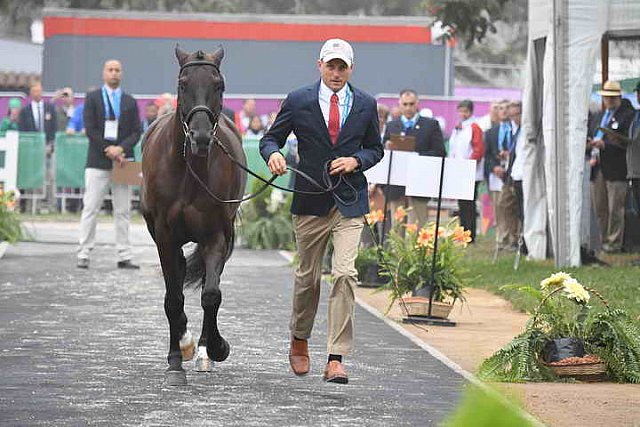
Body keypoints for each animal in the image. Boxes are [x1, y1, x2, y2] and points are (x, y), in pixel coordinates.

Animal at [141, 45, 246, 386]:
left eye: (219, 85)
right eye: (183, 84)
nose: (200, 137)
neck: (189, 173)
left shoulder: (215, 236)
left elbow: (211, 294)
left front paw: (215, 347)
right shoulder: (165, 236)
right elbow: (173, 298)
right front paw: (176, 361)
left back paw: (201, 350)